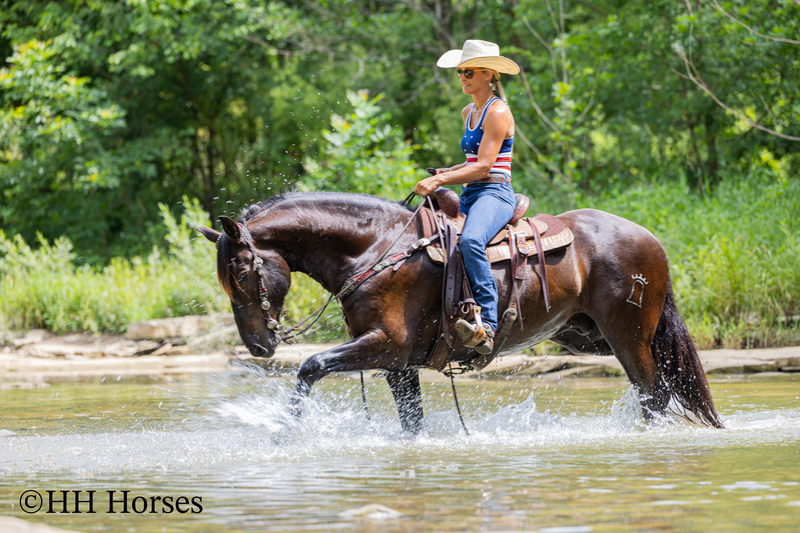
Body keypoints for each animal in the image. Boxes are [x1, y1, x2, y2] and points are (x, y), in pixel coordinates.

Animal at [197, 192, 724, 433]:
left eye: (240, 272)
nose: (258, 346)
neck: (376, 250)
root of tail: (650, 239)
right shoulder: (398, 364)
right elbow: (411, 423)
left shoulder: (383, 346)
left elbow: (310, 365)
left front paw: (284, 435)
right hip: (588, 336)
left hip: (627, 335)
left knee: (652, 393)